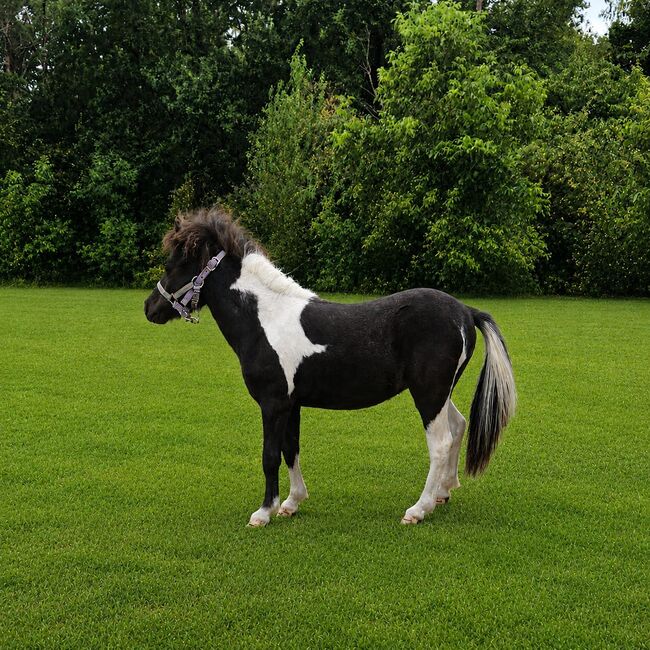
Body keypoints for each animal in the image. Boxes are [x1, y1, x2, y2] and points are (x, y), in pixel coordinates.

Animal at [144, 207, 516, 526]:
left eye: (173, 265)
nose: (150, 308)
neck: (266, 318)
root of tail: (465, 311)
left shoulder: (273, 404)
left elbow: (270, 455)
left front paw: (263, 512)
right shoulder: (291, 405)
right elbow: (290, 450)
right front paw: (291, 503)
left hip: (428, 394)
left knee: (439, 443)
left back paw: (418, 509)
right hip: (438, 394)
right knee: (458, 426)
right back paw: (442, 494)